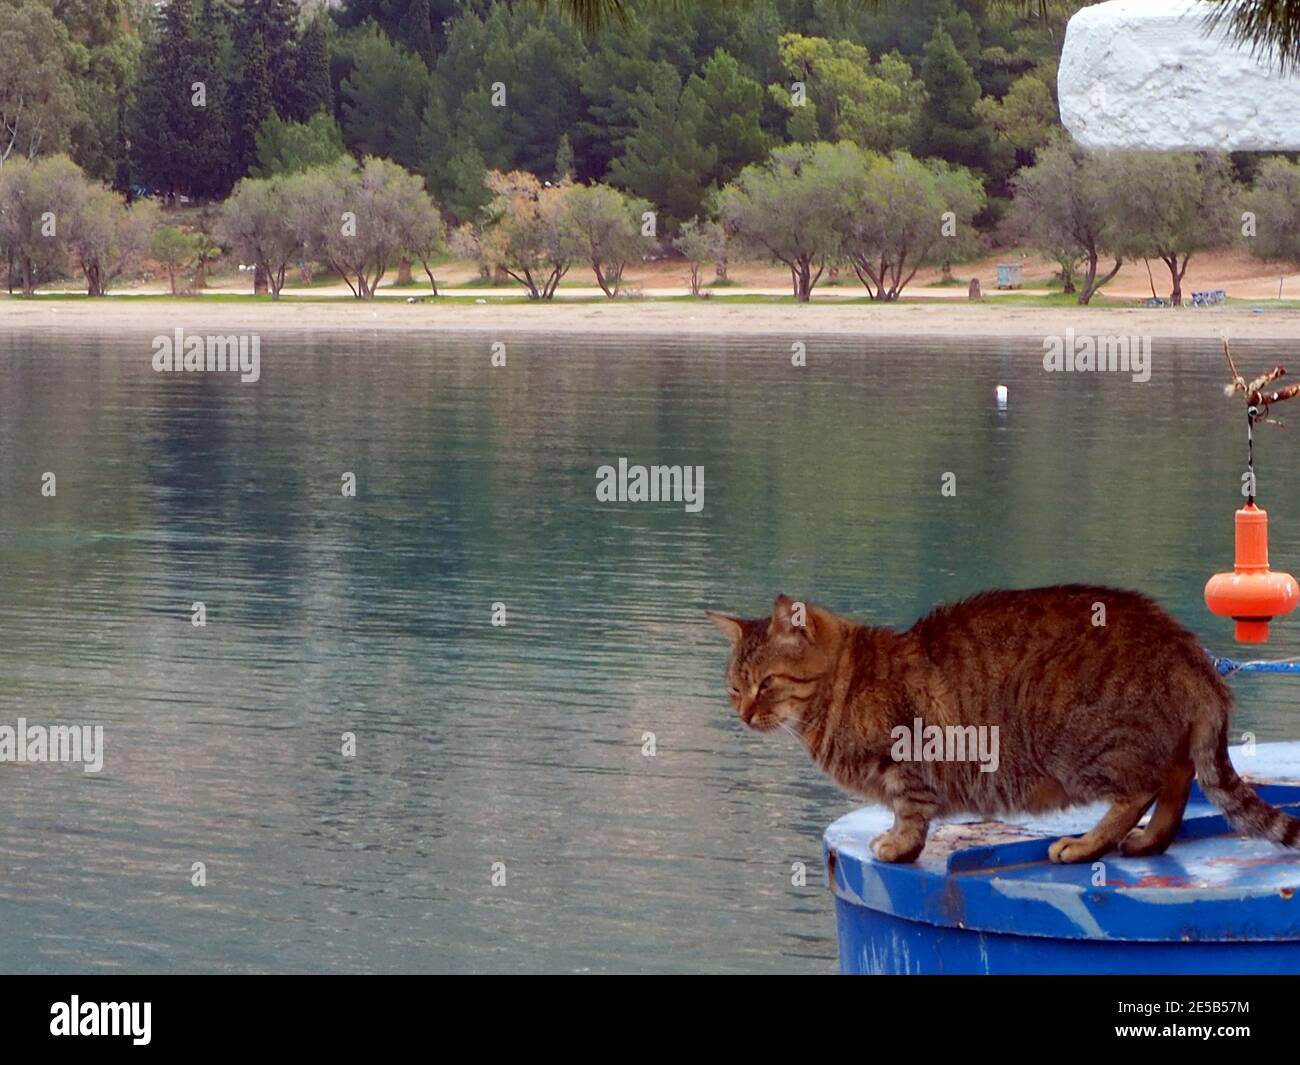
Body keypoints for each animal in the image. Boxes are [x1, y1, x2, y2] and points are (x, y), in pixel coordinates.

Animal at [712, 587, 1300, 863]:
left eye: (766, 684)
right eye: (735, 687)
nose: (743, 713)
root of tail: (1188, 649)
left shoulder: (910, 761)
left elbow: (910, 811)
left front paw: (898, 845)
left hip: (1079, 741)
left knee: (1143, 788)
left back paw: (1085, 845)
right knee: (1178, 780)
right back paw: (1149, 841)